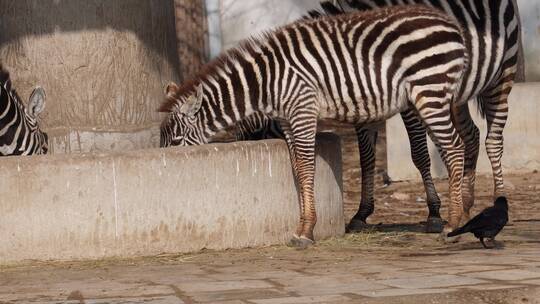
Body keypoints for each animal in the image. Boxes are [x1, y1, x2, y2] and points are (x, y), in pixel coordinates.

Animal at [159, 5, 468, 247]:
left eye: (174, 142)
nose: (164, 162)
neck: (266, 84)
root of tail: (451, 25)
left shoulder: (303, 109)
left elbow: (308, 167)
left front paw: (307, 230)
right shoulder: (287, 120)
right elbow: (298, 168)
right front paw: (301, 225)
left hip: (429, 92)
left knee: (454, 147)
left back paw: (452, 224)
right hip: (432, 97)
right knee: (454, 146)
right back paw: (460, 216)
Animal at [286, 0, 520, 233]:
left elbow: (419, 154)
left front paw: (434, 213)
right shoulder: (363, 103)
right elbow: (367, 158)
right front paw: (362, 213)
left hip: (501, 73)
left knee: (493, 141)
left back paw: (498, 202)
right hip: (454, 94)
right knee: (470, 135)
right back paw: (466, 205)